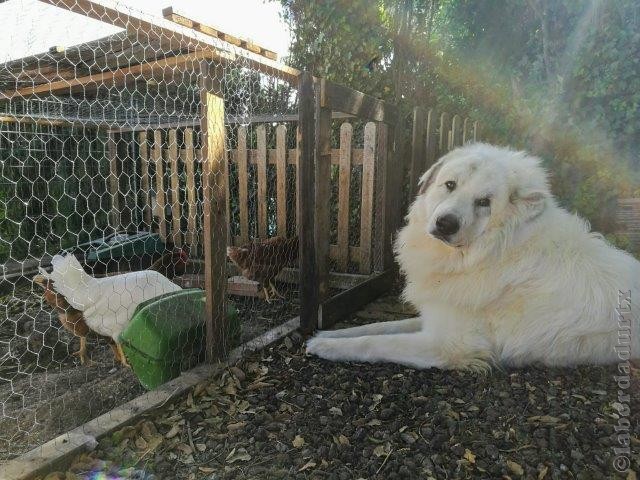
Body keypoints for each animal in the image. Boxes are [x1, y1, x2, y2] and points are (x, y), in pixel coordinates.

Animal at [308, 144, 636, 370]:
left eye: (484, 202)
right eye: (450, 185)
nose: (446, 224)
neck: (487, 253)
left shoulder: (448, 344)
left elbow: (374, 342)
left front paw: (326, 347)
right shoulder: (436, 318)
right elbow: (375, 328)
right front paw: (325, 335)